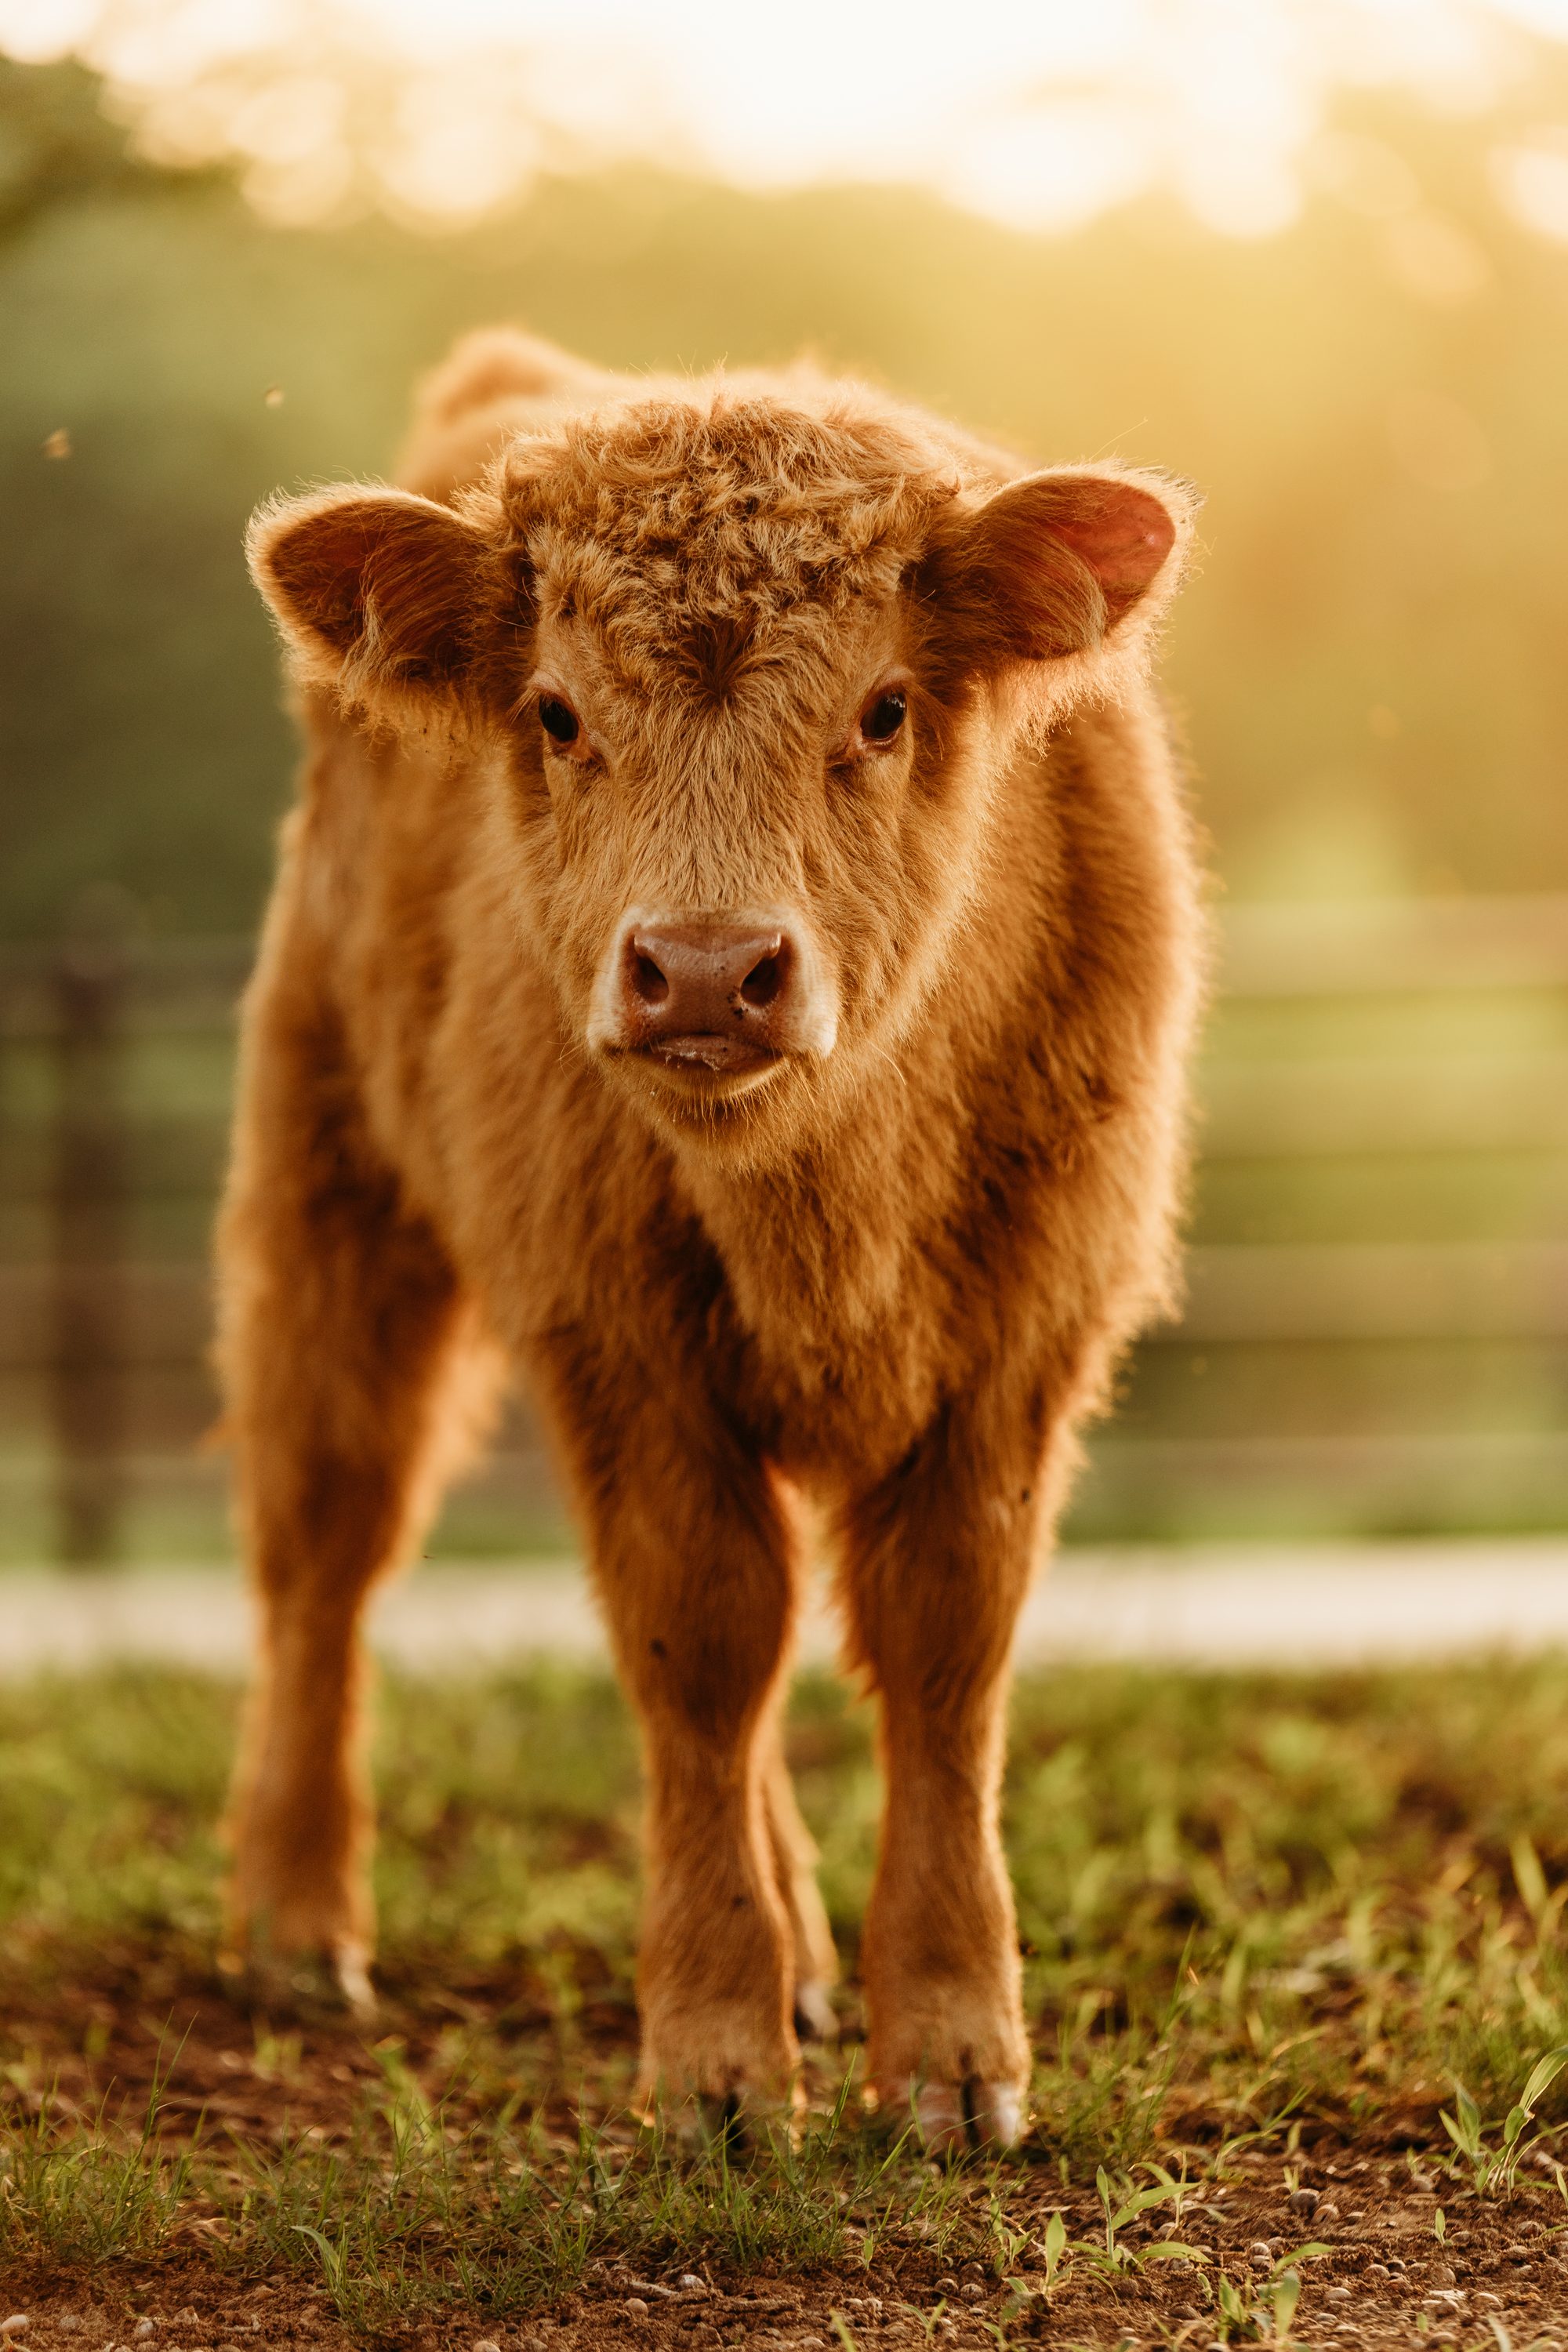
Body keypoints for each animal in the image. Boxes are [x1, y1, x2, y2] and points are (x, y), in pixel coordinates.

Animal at [222, 326, 1204, 2151]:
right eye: (556, 713)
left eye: (883, 708)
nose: (699, 969)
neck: (822, 1196)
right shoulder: (617, 1345)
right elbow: (700, 1651)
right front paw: (716, 2069)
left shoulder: (1019, 1348)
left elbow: (939, 1656)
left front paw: (952, 2055)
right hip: (333, 1203)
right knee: (324, 1548)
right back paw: (298, 1927)